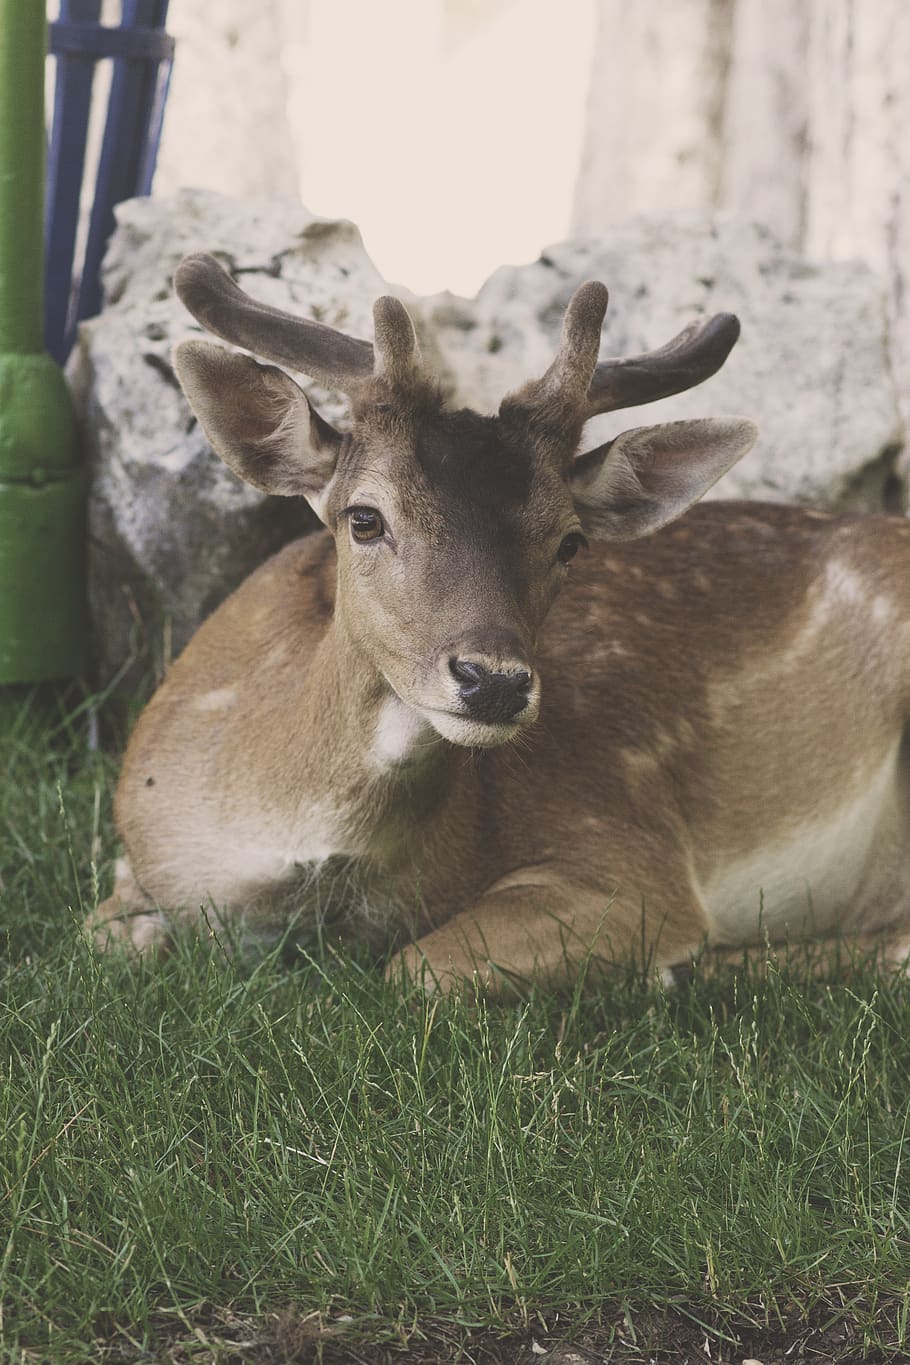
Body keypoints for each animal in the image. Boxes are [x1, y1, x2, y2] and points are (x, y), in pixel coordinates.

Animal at [89, 252, 910, 992]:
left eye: (570, 541)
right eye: (364, 518)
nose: (494, 682)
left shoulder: (629, 853)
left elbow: (418, 966)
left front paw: (668, 965)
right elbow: (109, 933)